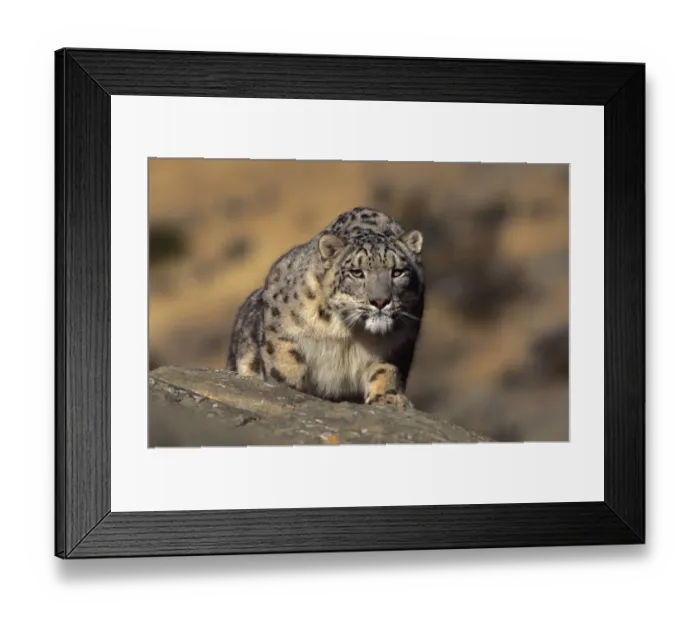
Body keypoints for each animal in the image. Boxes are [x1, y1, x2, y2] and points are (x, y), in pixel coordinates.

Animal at [225, 207, 425, 409]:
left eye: (397, 272)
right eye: (356, 272)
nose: (380, 301)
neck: (353, 333)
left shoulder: (397, 345)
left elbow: (386, 370)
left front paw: (388, 398)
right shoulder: (279, 324)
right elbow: (283, 359)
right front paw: (288, 386)